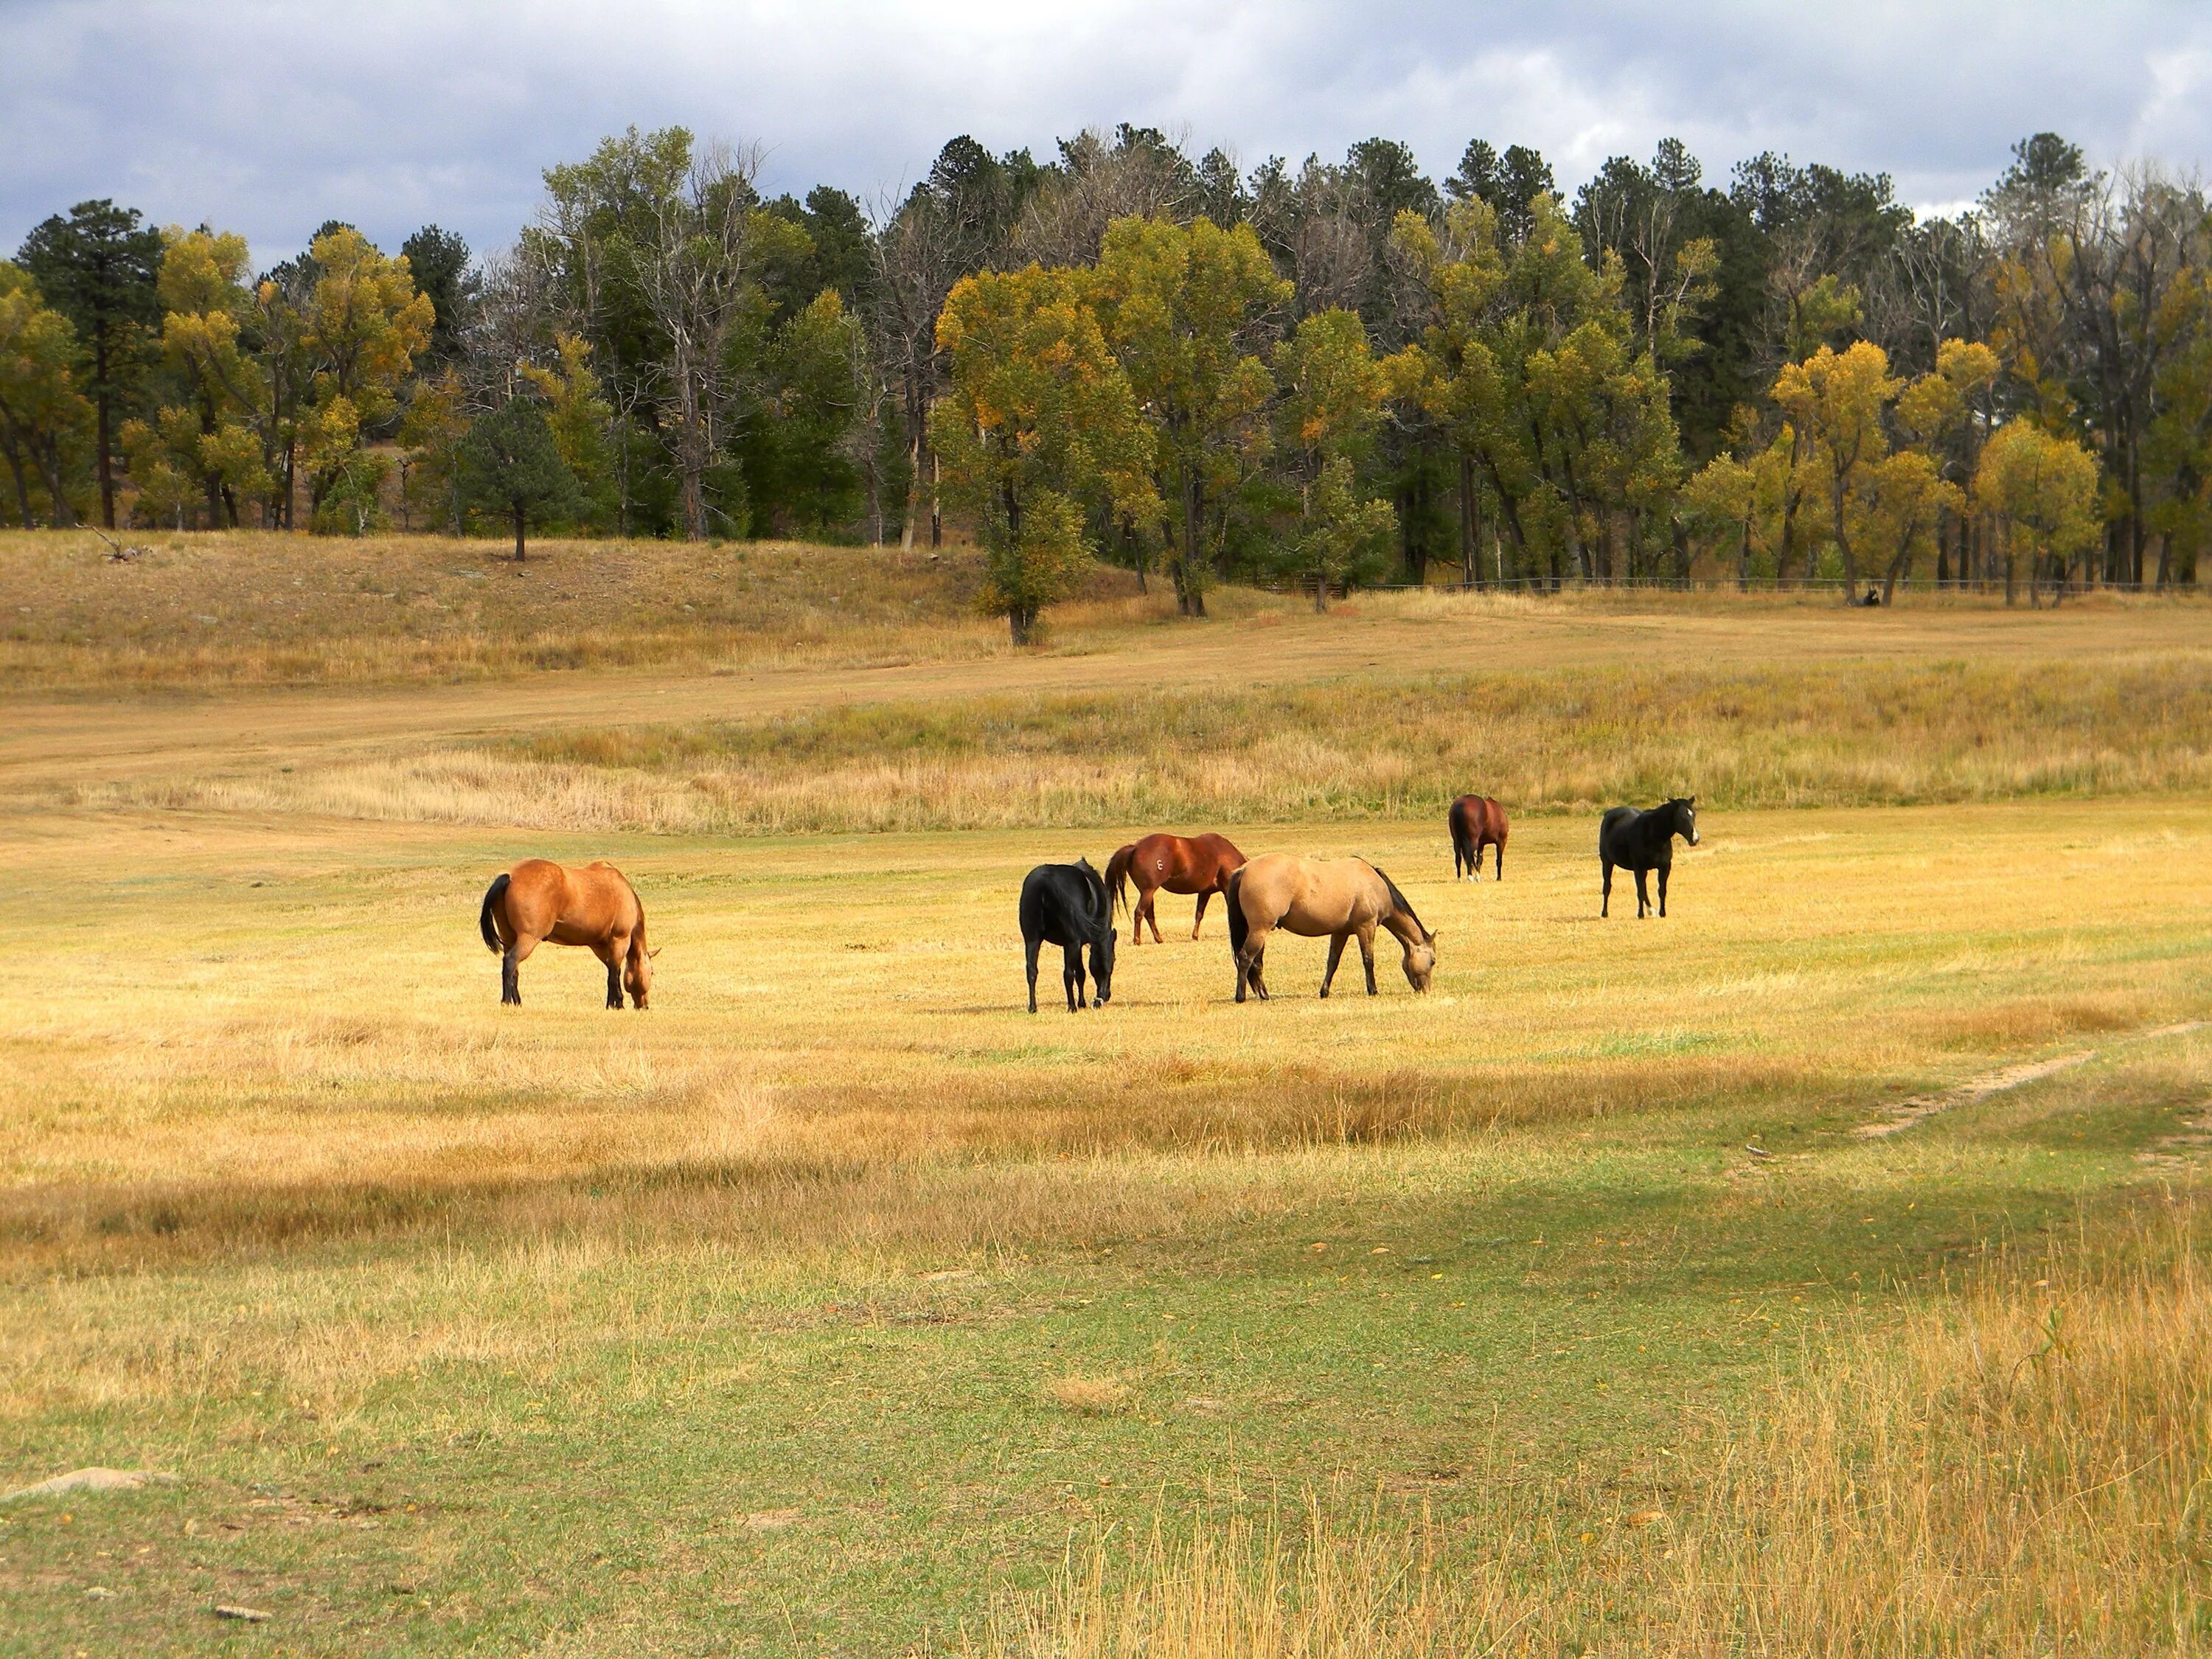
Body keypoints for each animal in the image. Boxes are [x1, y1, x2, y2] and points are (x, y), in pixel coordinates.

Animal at [480, 858, 650, 1013]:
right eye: (652, 972)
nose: (645, 1006)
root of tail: (511, 877)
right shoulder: (620, 940)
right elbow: (615, 974)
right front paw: (618, 1005)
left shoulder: (599, 945)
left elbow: (611, 972)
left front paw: (611, 1004)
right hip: (528, 939)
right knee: (510, 962)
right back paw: (507, 1002)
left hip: (509, 939)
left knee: (514, 969)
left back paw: (517, 1003)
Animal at [1022, 863, 1124, 1022]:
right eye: (1114, 960)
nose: (1106, 996)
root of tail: (1045, 881)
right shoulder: (1077, 944)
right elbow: (1080, 973)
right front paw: (1082, 1003)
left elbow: (1081, 973)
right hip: (1071, 943)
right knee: (1068, 974)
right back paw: (1072, 1007)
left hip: (1032, 940)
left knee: (1032, 971)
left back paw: (1033, 1008)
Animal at [1106, 832, 1248, 947]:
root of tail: (1136, 848)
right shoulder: (1226, 889)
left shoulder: (1205, 892)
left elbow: (1199, 914)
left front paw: (1195, 936)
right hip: (1148, 891)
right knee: (1139, 913)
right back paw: (1137, 940)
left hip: (1147, 892)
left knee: (1149, 915)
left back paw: (1158, 939)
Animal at [1221, 849, 1442, 1009]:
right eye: (1432, 961)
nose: (1426, 990)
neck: (1376, 886)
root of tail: (1245, 869)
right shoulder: (1366, 927)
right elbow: (1368, 960)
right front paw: (1373, 990)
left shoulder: (1340, 932)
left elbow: (1332, 963)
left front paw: (1324, 992)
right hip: (1260, 930)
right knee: (1245, 958)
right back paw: (1241, 996)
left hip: (1258, 930)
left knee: (1256, 963)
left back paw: (1264, 995)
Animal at [1601, 801, 1699, 925]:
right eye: (1682, 816)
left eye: (1694, 814)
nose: (1695, 839)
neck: (1653, 835)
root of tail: (1609, 812)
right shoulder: (1639, 868)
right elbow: (1640, 892)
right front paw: (1640, 915)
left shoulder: (1664, 867)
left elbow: (1661, 890)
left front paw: (1662, 913)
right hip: (1607, 862)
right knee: (1607, 887)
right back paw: (1604, 913)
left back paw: (1651, 910)